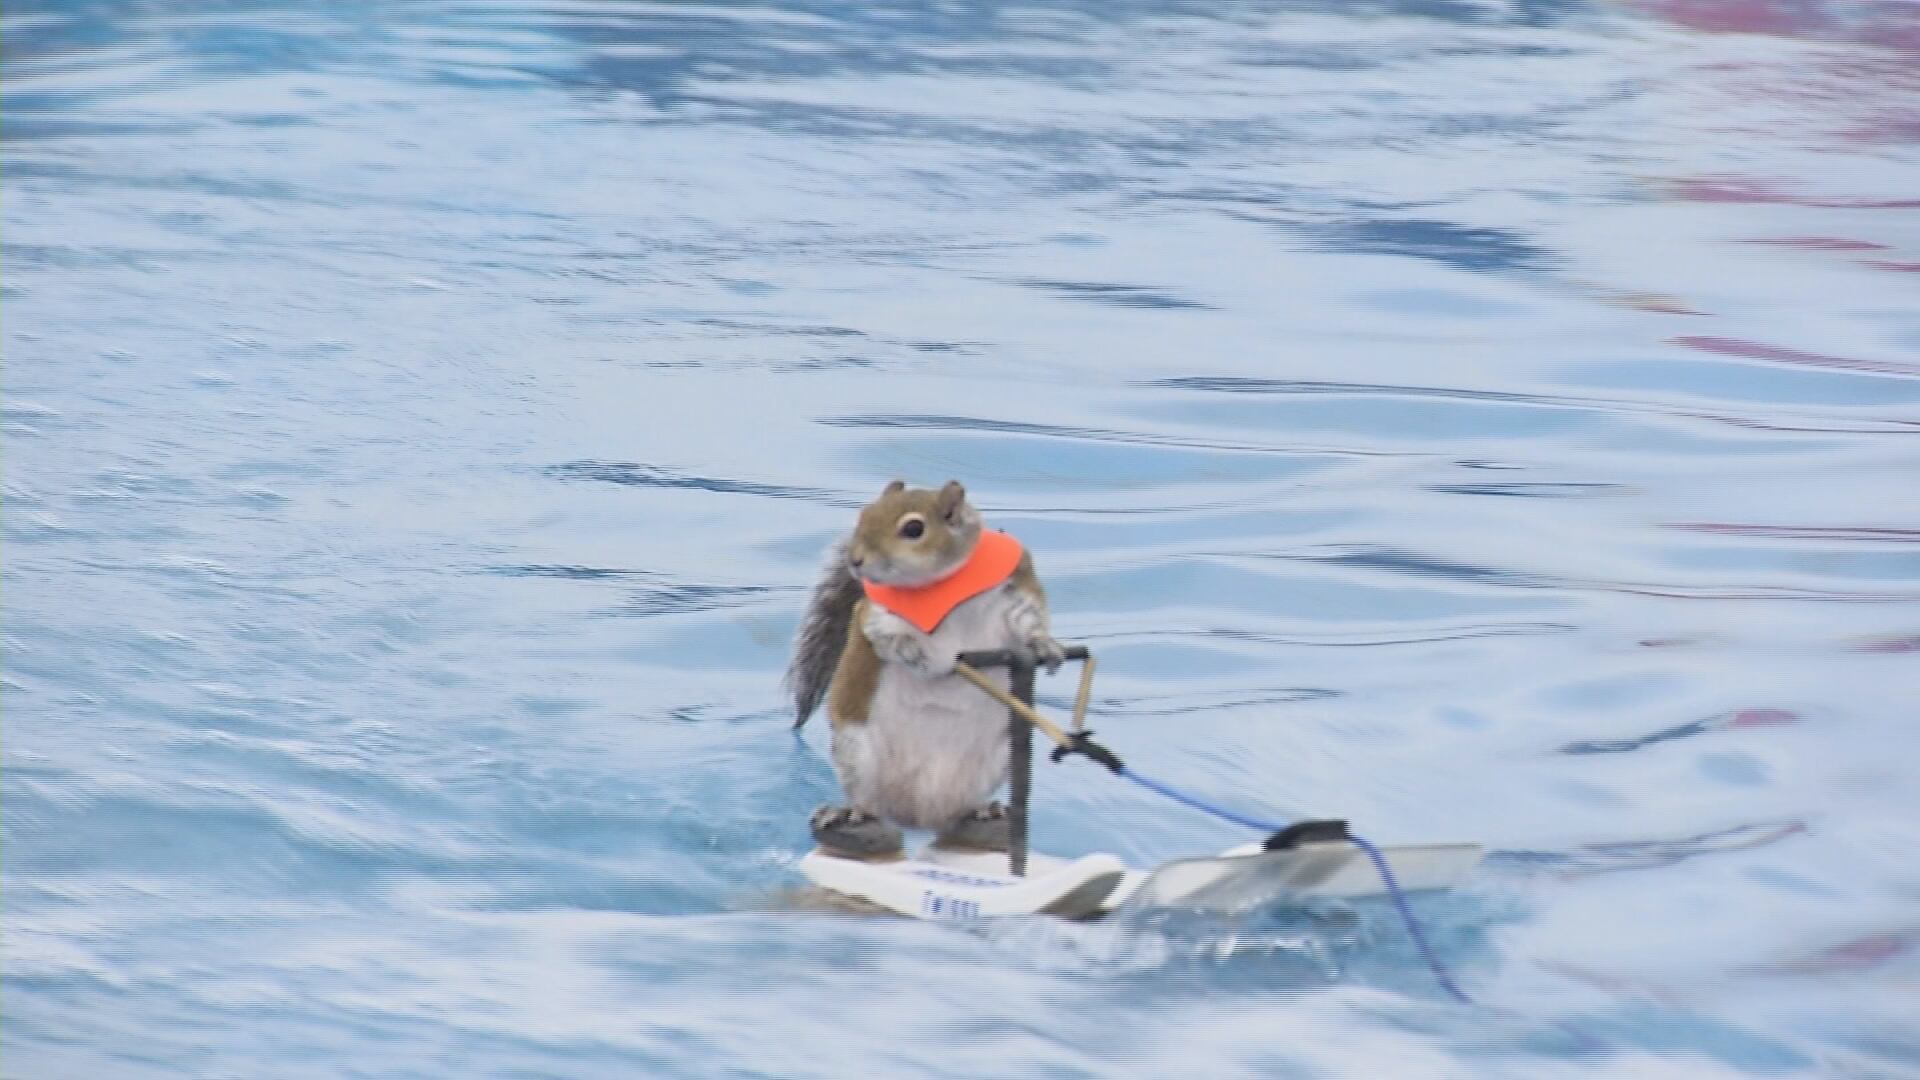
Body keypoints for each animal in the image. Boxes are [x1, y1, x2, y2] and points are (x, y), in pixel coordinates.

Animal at [786, 480, 1066, 859]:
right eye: (864, 513)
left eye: (914, 529)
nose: (855, 560)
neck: (943, 584)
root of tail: (919, 817)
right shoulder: (875, 612)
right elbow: (888, 635)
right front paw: (921, 655)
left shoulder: (1016, 591)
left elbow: (1029, 621)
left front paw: (1045, 646)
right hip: (858, 753)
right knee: (869, 806)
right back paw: (849, 816)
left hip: (995, 761)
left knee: (963, 815)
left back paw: (987, 812)